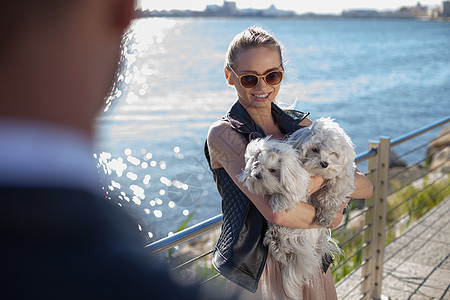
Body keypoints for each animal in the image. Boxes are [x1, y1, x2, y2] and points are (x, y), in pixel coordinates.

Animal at [237, 138, 340, 298]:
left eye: (272, 170)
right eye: (257, 164)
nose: (258, 175)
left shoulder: (298, 184)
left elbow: (287, 194)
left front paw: (278, 200)